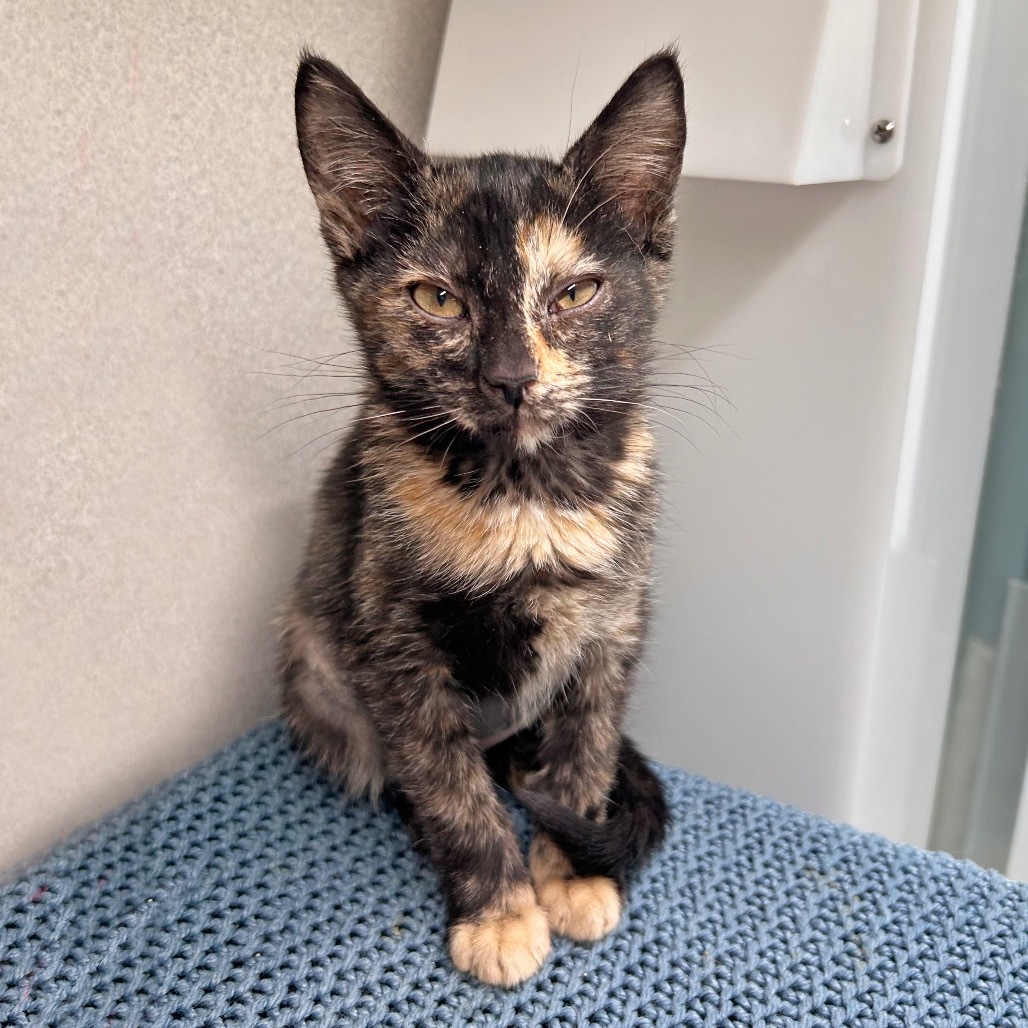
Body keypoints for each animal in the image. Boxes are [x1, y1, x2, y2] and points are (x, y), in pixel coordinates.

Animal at [277, 50, 686, 986]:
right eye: (435, 299)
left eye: (576, 291)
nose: (510, 378)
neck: (524, 493)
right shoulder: (393, 643)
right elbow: (448, 782)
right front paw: (499, 912)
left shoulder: (615, 623)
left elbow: (586, 752)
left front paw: (570, 875)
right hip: (315, 663)